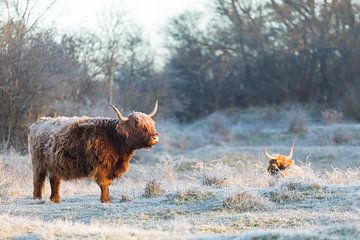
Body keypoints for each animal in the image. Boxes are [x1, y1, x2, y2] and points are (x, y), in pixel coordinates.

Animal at [30, 101, 160, 202]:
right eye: (136, 125)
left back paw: (55, 199)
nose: (155, 137)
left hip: (55, 164)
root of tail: (38, 122)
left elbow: (108, 183)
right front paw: (106, 200)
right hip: (38, 164)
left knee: (55, 180)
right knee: (38, 180)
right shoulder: (101, 164)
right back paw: (37, 199)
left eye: (152, 124)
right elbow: (104, 182)